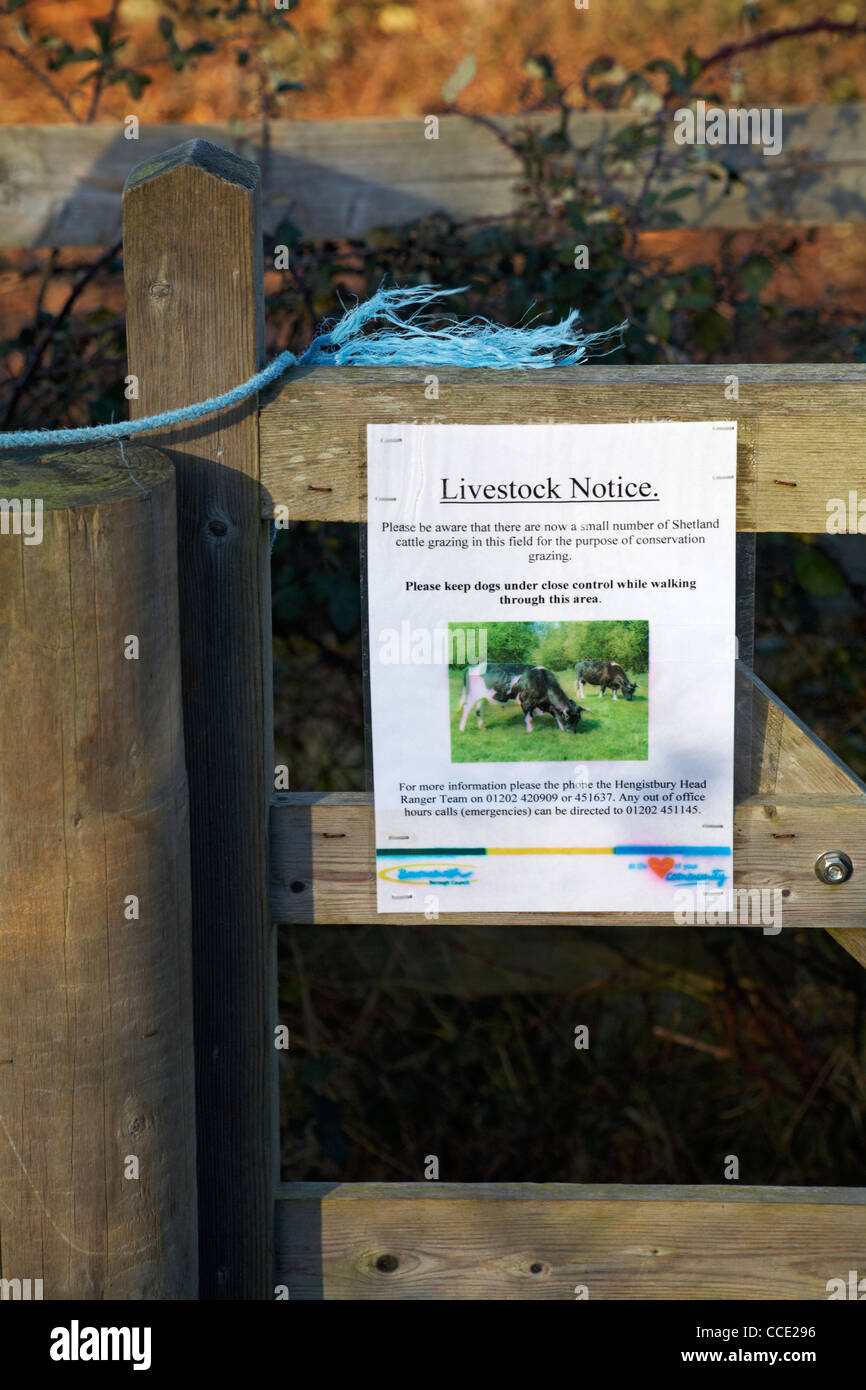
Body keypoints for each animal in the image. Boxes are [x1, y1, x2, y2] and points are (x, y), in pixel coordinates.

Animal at [453, 664, 589, 733]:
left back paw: (482, 727)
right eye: (569, 719)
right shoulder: (526, 702)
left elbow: (555, 715)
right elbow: (529, 718)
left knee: (479, 709)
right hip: (472, 695)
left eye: (578, 720)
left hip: (484, 697)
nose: (573, 733)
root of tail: (472, 667)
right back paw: (461, 728)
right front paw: (530, 731)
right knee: (466, 708)